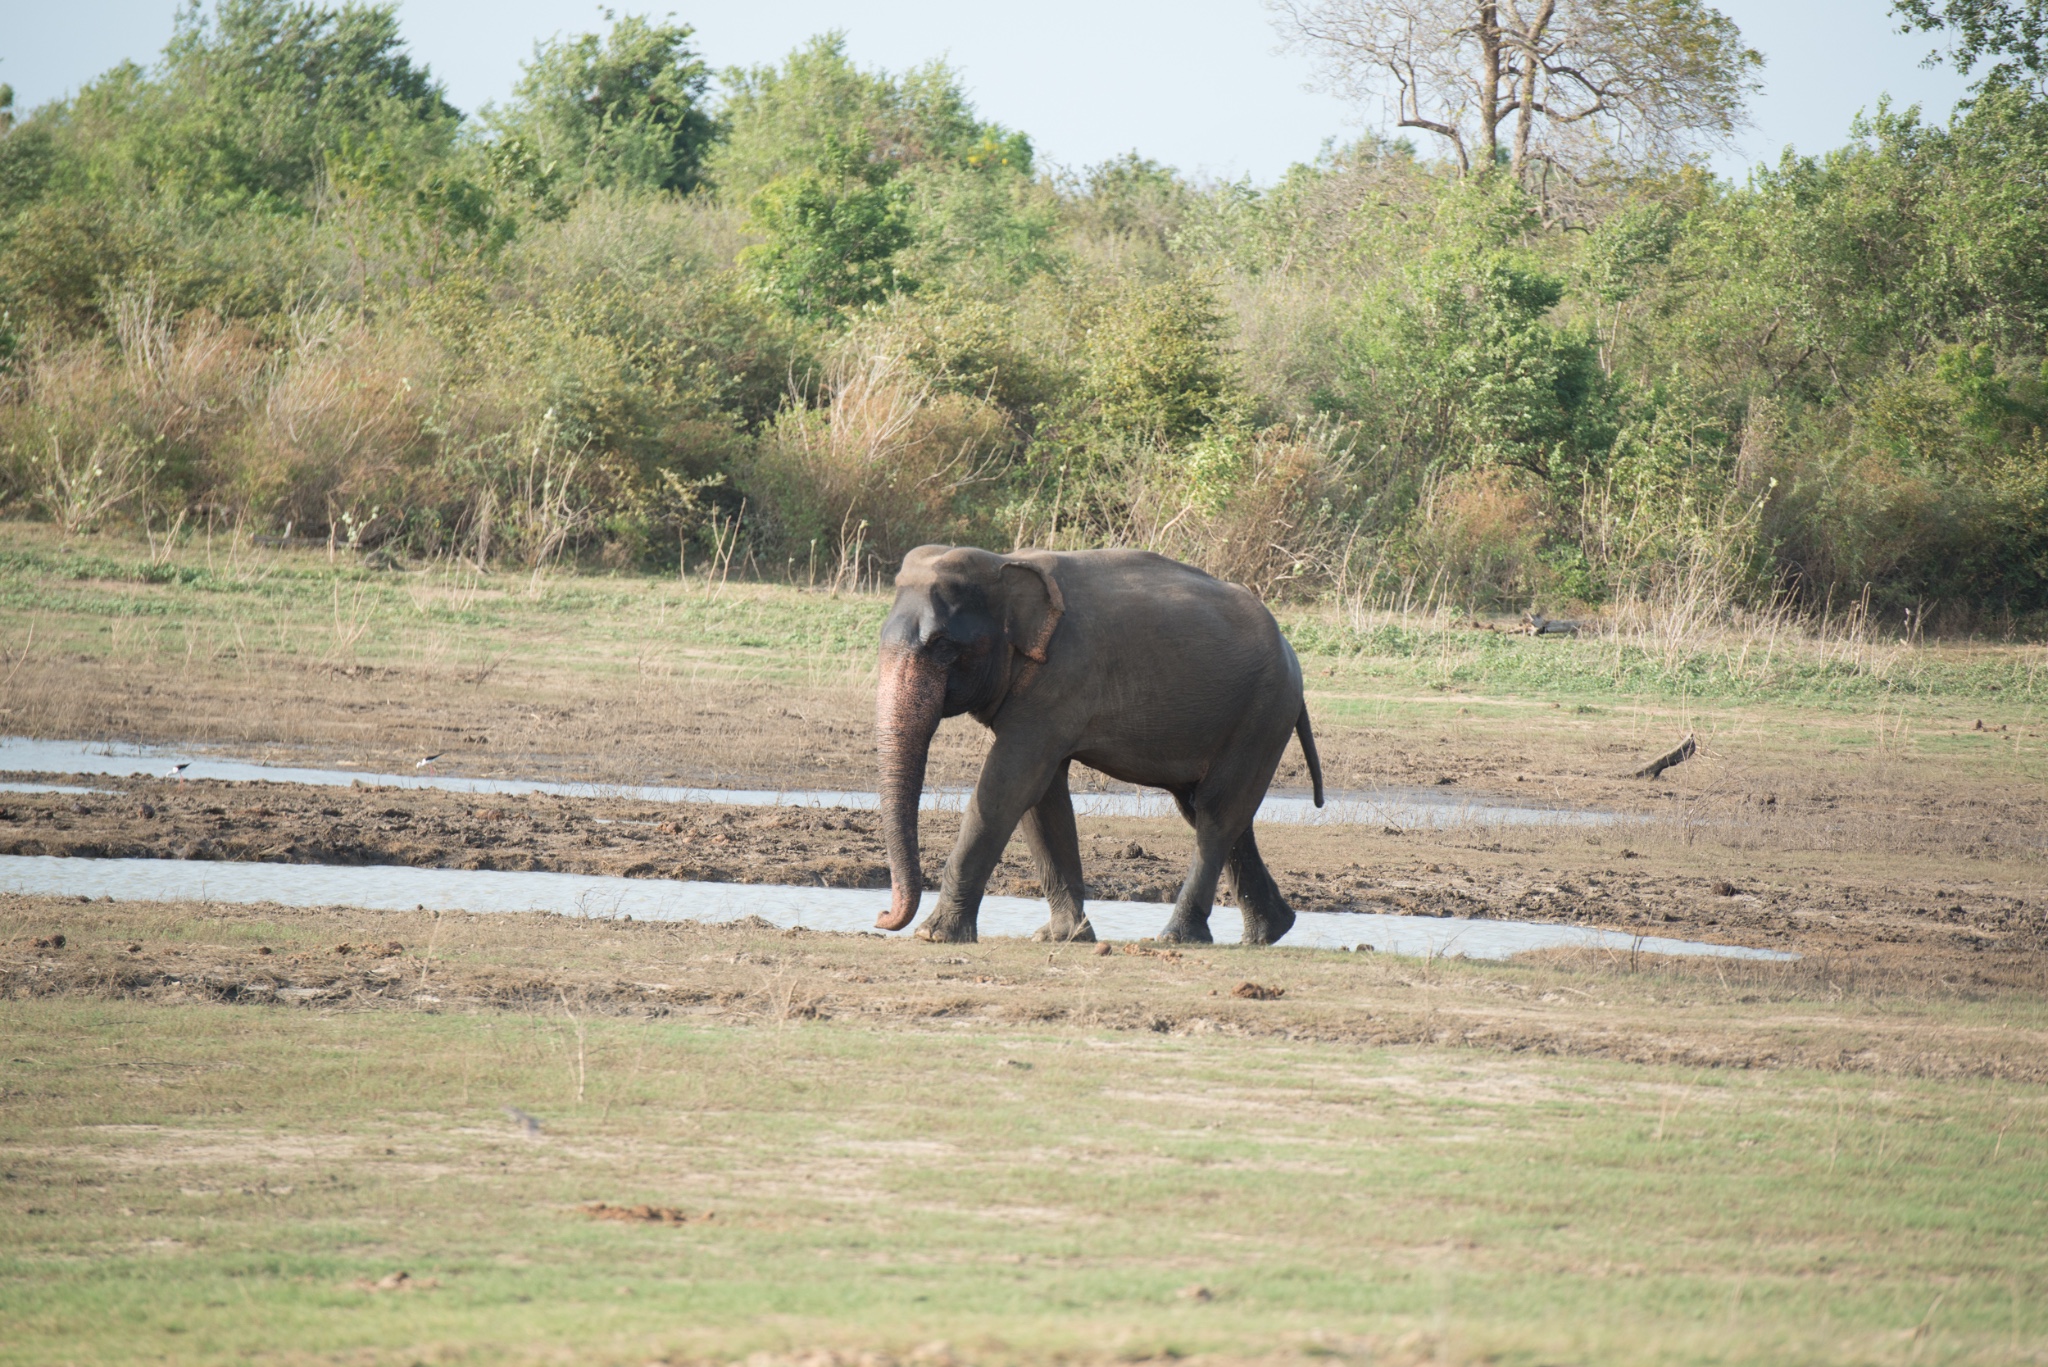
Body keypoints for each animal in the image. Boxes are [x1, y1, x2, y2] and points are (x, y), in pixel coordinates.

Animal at [876, 541, 1327, 946]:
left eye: (943, 647)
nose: (881, 917)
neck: (1003, 562)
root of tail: (1289, 650)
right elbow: (1041, 800)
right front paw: (1063, 936)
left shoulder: (1060, 681)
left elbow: (1009, 785)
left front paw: (933, 935)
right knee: (1216, 812)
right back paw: (1270, 932)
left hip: (1262, 714)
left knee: (1216, 815)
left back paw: (1176, 937)